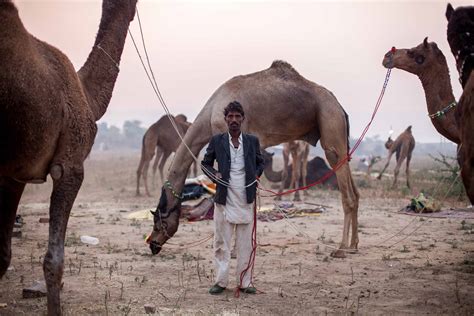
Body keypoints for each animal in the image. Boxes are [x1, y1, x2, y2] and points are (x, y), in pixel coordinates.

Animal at [148, 59, 360, 256]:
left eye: (158, 219)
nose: (152, 243)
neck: (211, 114)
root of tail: (340, 107)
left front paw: (234, 251)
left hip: (330, 124)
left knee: (347, 193)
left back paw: (341, 248)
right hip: (339, 137)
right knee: (355, 191)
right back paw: (354, 246)